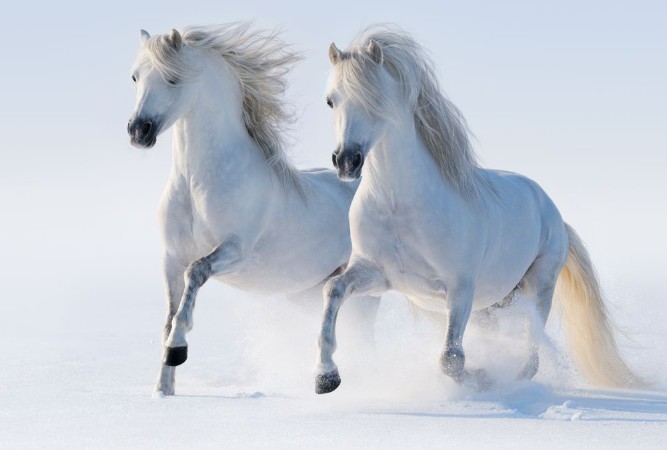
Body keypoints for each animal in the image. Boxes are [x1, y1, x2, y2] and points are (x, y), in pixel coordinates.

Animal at [127, 24, 379, 396]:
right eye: (135, 77)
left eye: (173, 78)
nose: (138, 131)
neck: (197, 184)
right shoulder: (171, 258)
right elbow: (169, 316)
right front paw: (164, 389)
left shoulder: (235, 251)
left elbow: (195, 275)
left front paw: (178, 350)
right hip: (306, 292)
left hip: (366, 289)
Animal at [314, 25, 642, 394]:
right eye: (331, 100)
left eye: (376, 98)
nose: (346, 161)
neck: (400, 206)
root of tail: (552, 211)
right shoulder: (376, 274)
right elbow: (333, 290)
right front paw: (325, 377)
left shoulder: (460, 289)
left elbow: (451, 359)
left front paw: (482, 378)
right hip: (493, 305)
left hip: (538, 287)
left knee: (531, 353)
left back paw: (513, 380)